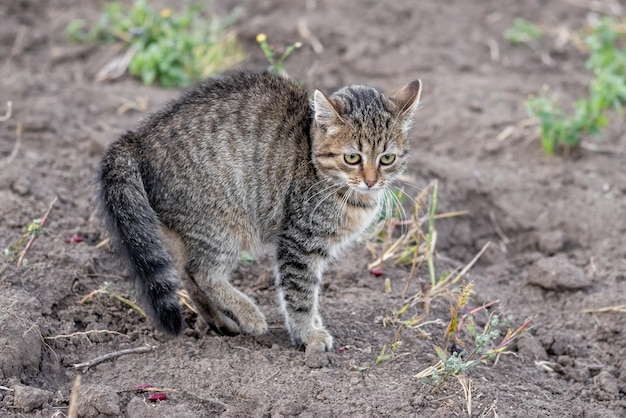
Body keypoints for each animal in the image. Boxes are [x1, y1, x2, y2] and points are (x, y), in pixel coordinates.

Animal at [97, 70, 420, 352]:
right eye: (352, 158)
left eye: (387, 158)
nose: (371, 180)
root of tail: (141, 135)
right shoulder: (299, 241)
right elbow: (300, 294)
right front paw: (307, 334)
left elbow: (311, 291)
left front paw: (314, 325)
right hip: (222, 223)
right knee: (202, 273)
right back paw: (249, 314)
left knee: (187, 274)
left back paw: (222, 322)